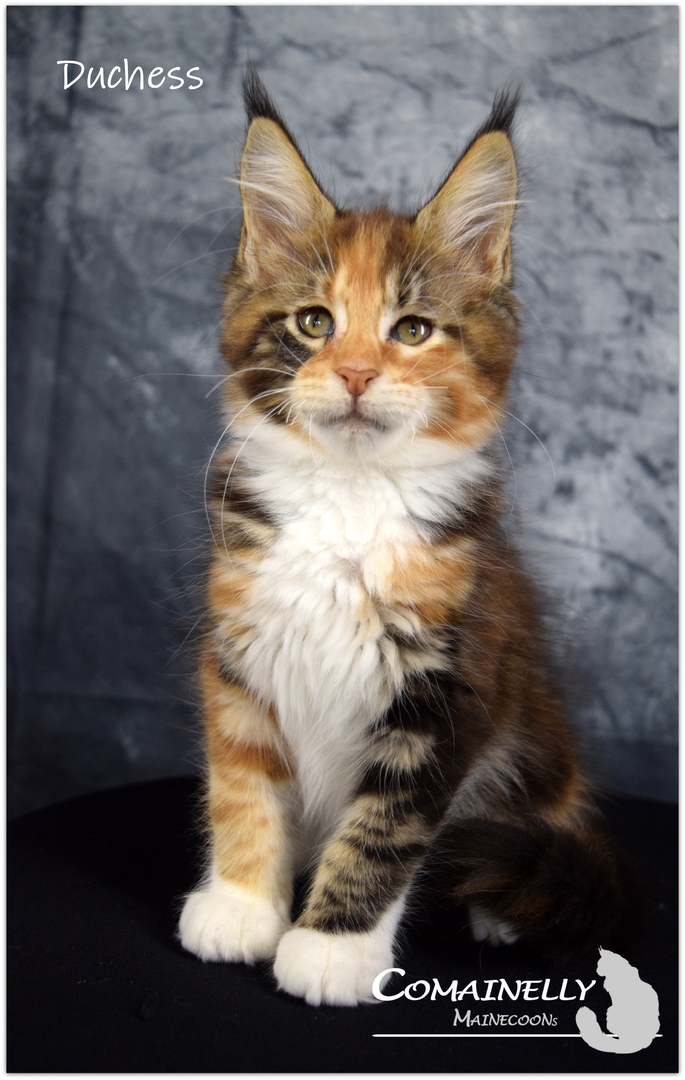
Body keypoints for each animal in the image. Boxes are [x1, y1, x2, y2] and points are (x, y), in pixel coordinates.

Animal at [178, 67, 635, 1007]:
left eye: (411, 330)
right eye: (315, 323)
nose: (355, 372)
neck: (348, 498)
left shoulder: (450, 690)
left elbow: (382, 832)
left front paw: (331, 949)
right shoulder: (236, 657)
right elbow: (242, 786)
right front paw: (239, 904)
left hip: (537, 741)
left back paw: (503, 907)